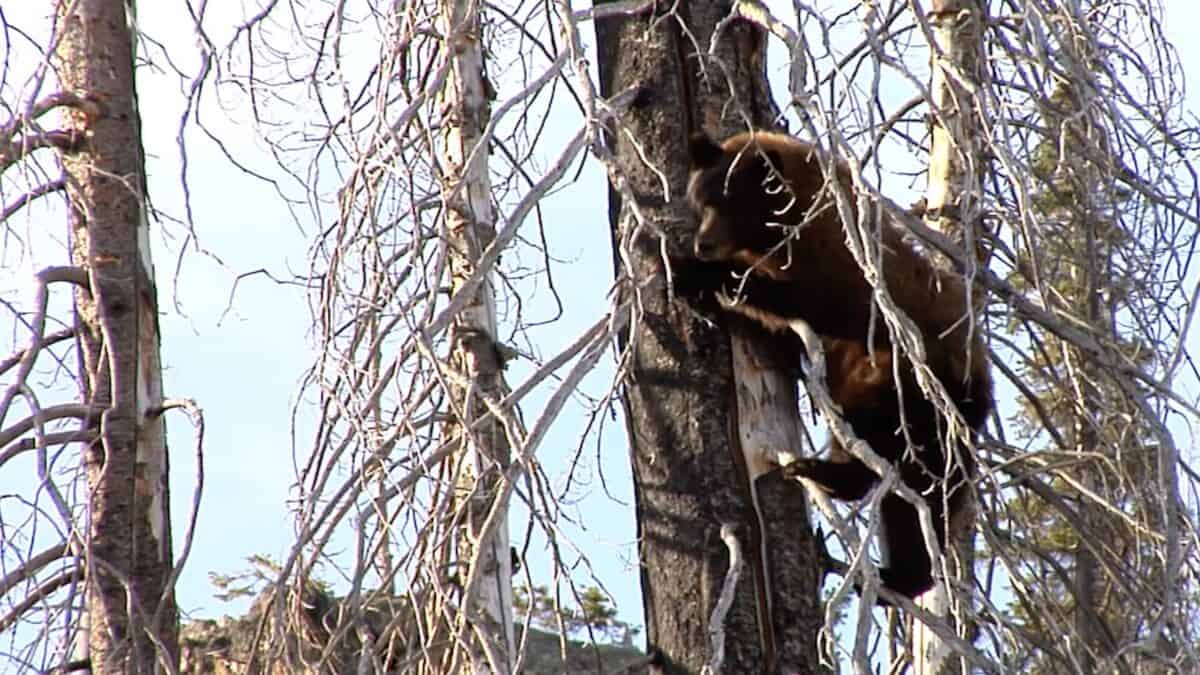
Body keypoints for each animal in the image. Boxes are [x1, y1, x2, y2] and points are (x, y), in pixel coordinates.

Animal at [679, 129, 993, 600]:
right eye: (701, 200)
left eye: (729, 202)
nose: (703, 243)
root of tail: (979, 398)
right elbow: (780, 329)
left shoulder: (840, 266)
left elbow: (798, 298)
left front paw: (696, 274)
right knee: (912, 498)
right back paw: (900, 572)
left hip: (906, 387)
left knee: (890, 458)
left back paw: (826, 477)